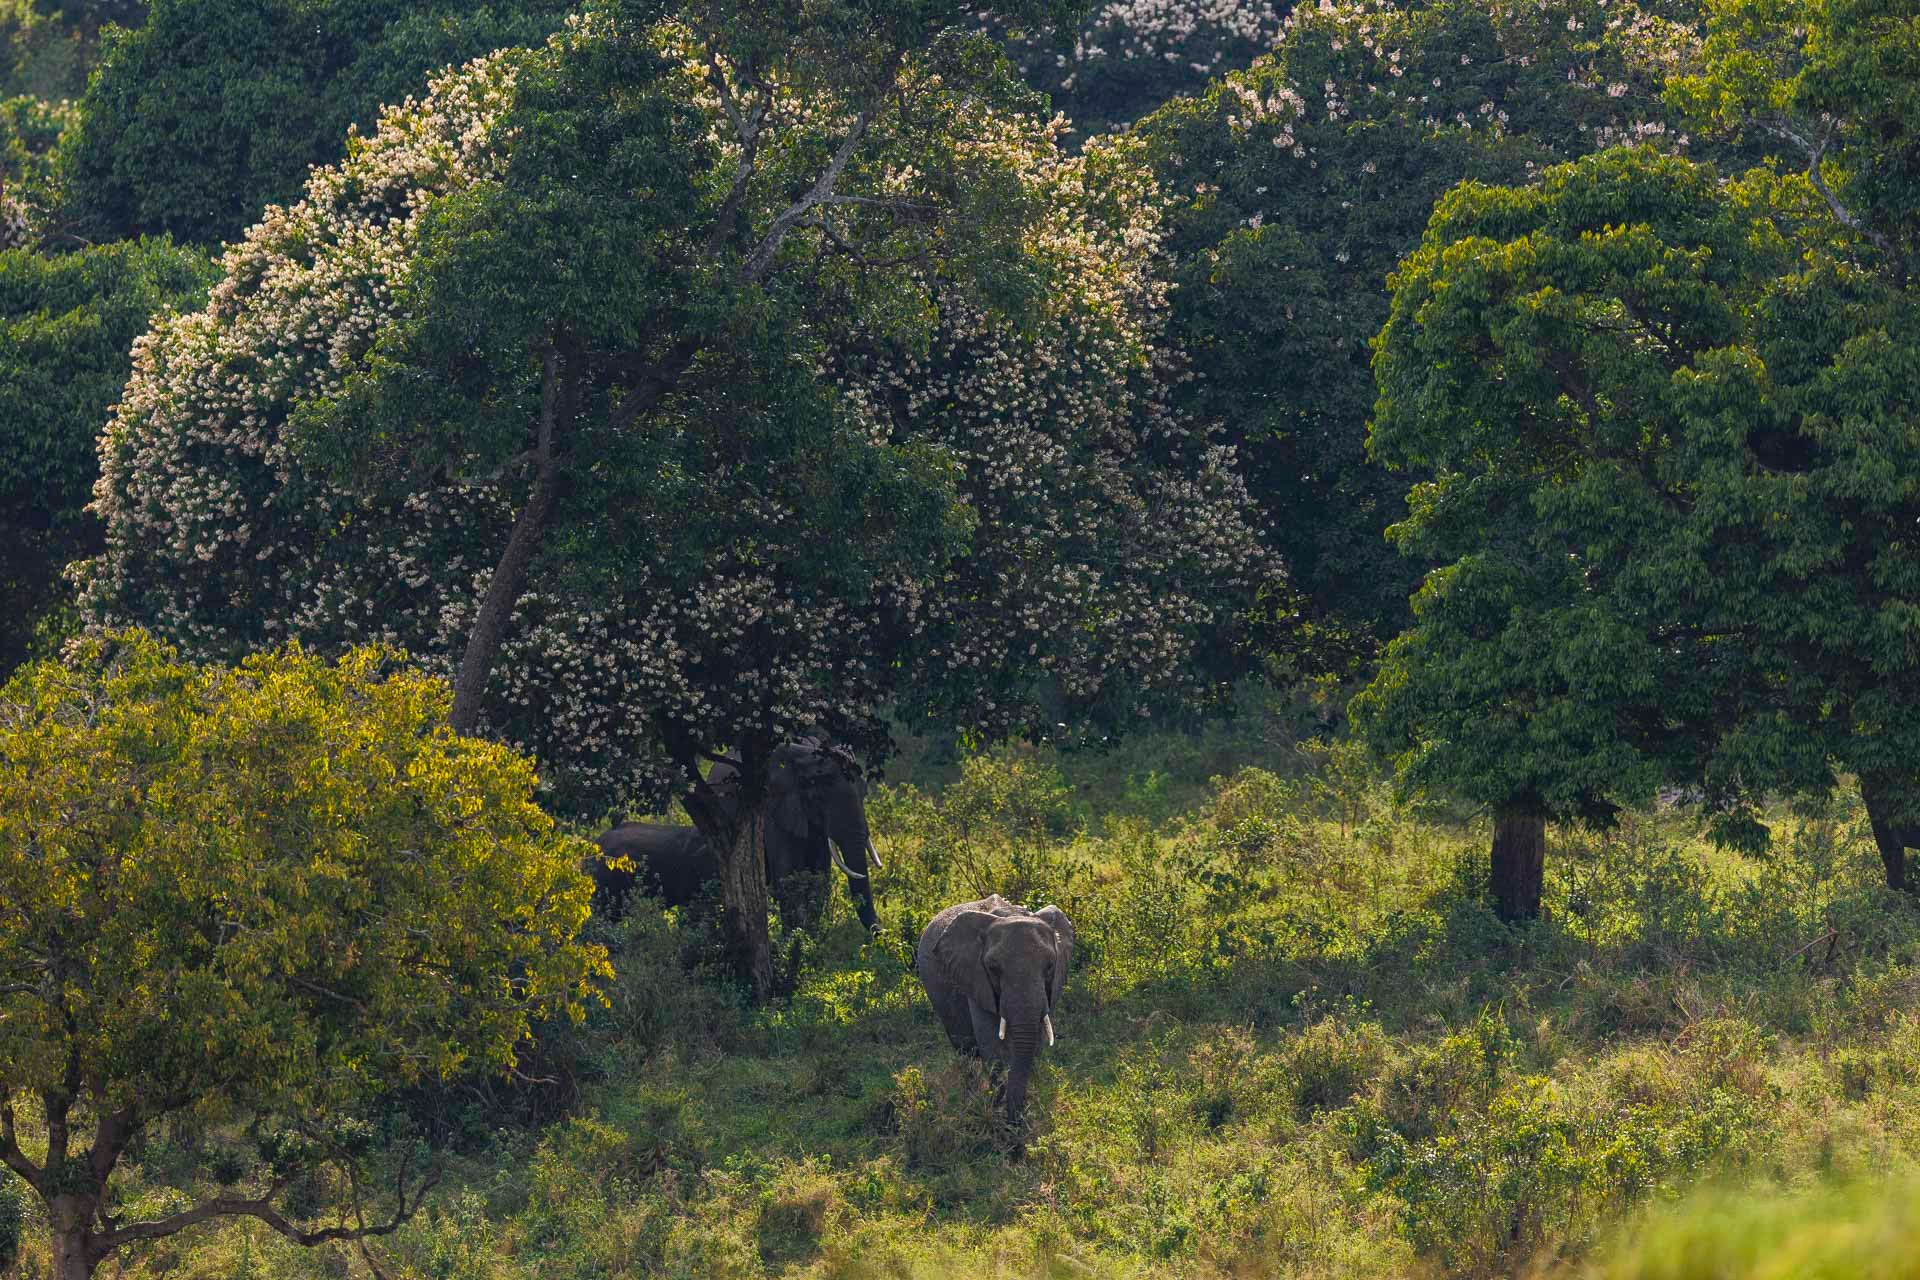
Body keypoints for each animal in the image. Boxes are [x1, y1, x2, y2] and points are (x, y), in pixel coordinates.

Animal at [587, 739, 883, 931]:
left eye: (864, 792)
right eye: (819, 794)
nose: (881, 937)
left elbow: (818, 881)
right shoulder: (772, 806)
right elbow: (789, 881)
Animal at [916, 894, 1074, 1121]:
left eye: (1051, 965)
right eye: (992, 968)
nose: (1016, 1120)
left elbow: (1035, 1041)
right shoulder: (975, 977)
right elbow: (992, 1044)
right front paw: (998, 1110)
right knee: (964, 1048)